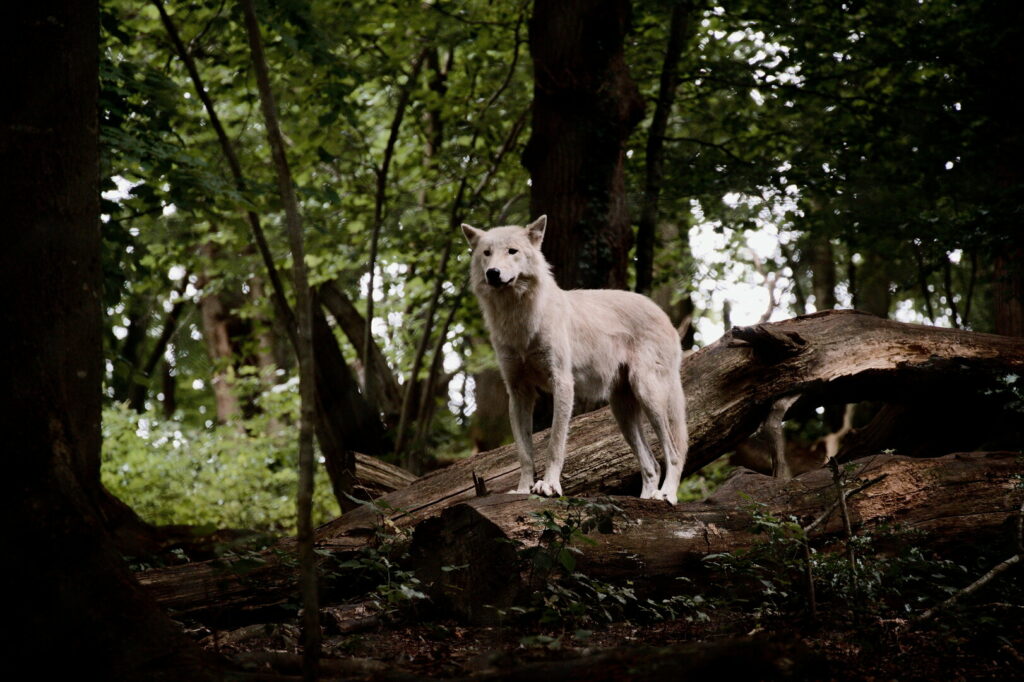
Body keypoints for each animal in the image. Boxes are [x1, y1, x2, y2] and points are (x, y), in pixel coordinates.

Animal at [462, 215, 688, 501]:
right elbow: (524, 452)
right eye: (486, 253)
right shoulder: (518, 393)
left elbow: (554, 445)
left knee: (674, 453)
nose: (492, 273)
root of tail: (664, 316)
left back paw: (666, 495)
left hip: (649, 395)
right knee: (652, 465)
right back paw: (647, 498)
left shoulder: (562, 383)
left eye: (512, 251)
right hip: (622, 411)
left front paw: (548, 486)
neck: (520, 322)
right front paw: (523, 490)